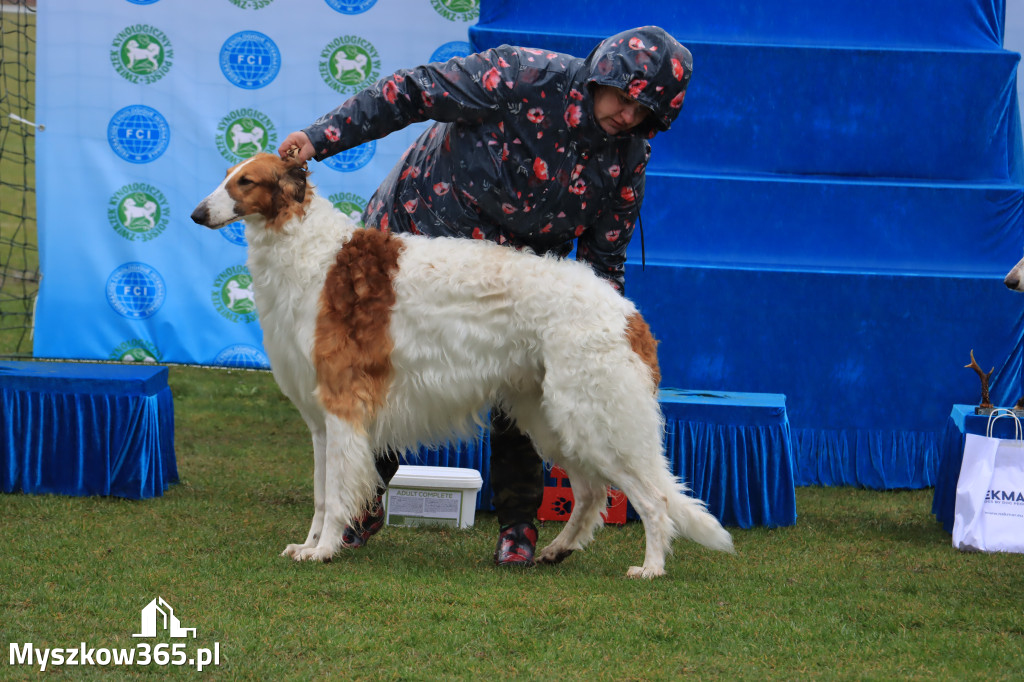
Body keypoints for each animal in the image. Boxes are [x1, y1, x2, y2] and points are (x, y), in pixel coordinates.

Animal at [192, 152, 733, 573]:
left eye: (245, 181)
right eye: (226, 174)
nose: (197, 213)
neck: (312, 255)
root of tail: (629, 314)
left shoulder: (343, 406)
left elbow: (338, 492)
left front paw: (323, 551)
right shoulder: (321, 420)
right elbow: (324, 495)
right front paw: (307, 546)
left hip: (593, 417)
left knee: (654, 499)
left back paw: (651, 567)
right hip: (554, 417)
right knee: (592, 494)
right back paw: (556, 551)